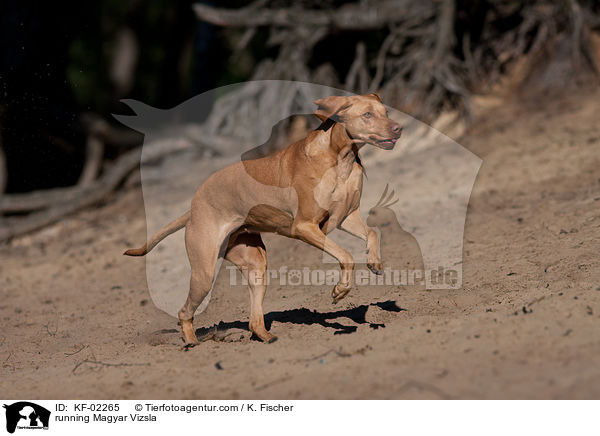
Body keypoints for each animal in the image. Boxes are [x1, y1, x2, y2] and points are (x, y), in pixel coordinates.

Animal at [124, 93, 400, 346]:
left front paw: (374, 262)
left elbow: (372, 233)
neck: (340, 158)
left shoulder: (346, 217)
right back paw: (192, 342)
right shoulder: (305, 226)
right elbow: (346, 256)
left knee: (254, 319)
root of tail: (193, 207)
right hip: (204, 272)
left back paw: (266, 336)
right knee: (184, 311)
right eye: (367, 114)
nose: (398, 128)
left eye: (385, 111)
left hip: (255, 265)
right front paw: (340, 291)